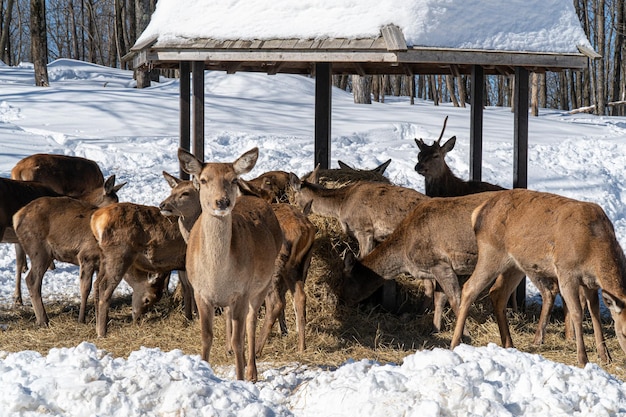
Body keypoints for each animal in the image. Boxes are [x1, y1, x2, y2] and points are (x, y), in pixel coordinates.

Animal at [13, 195, 166, 324]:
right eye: (148, 299)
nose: (138, 318)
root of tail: (16, 216)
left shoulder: (100, 265)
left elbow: (97, 289)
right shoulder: (86, 256)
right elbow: (86, 288)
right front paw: (82, 319)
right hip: (39, 250)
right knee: (32, 280)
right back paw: (43, 320)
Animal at [177, 146, 282, 380]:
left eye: (233, 179)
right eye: (203, 180)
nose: (222, 202)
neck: (217, 275)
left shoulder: (241, 291)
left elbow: (239, 339)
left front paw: (240, 377)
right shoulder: (200, 292)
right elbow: (206, 336)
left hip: (263, 283)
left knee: (251, 324)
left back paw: (252, 371)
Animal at [450, 188, 624, 364]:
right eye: (624, 333)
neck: (594, 250)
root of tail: (477, 212)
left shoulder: (590, 283)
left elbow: (595, 313)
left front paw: (605, 356)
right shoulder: (566, 272)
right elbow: (577, 312)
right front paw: (583, 359)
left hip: (515, 265)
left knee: (497, 293)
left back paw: (508, 343)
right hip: (491, 252)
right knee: (469, 288)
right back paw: (455, 343)